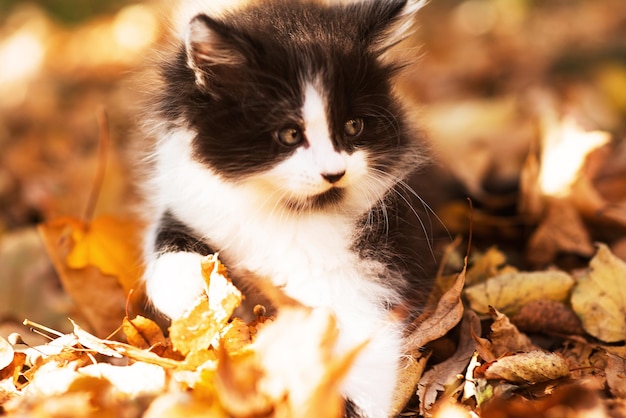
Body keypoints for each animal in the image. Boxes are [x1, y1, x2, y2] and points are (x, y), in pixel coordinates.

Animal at [141, 1, 434, 416]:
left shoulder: (376, 259)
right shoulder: (192, 200)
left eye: (354, 126)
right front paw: (186, 289)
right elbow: (167, 235)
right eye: (290, 134)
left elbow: (360, 332)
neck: (285, 211)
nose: (334, 172)